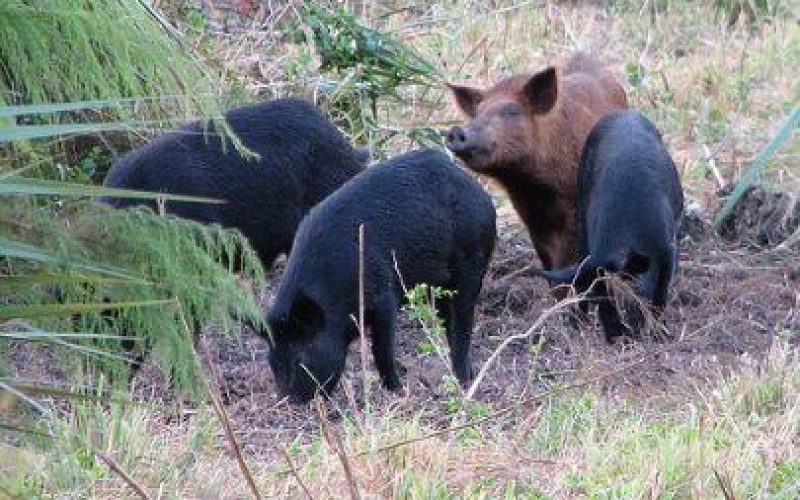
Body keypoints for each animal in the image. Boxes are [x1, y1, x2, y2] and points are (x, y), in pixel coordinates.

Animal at [266, 148, 496, 402]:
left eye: (301, 358)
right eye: (272, 361)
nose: (288, 400)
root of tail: (483, 196)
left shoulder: (383, 296)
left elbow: (382, 348)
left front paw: (397, 388)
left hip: (472, 260)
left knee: (463, 318)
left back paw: (464, 379)